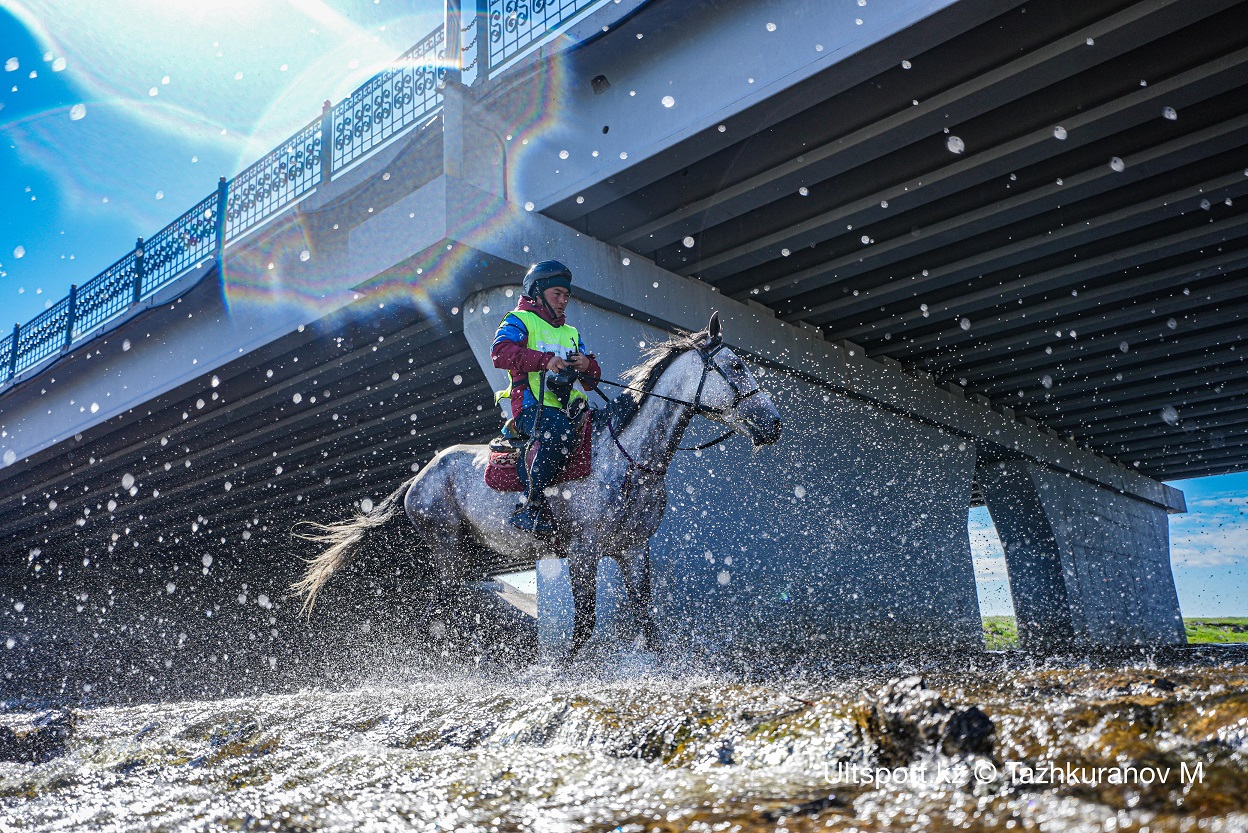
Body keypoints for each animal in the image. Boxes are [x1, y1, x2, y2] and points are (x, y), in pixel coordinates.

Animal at [289, 312, 778, 664]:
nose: (773, 423)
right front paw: (561, 668)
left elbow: (646, 619)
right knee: (446, 606)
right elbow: (586, 621)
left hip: (471, 554)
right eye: (736, 365)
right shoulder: (583, 550)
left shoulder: (633, 549)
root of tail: (422, 474)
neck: (628, 458)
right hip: (445, 546)